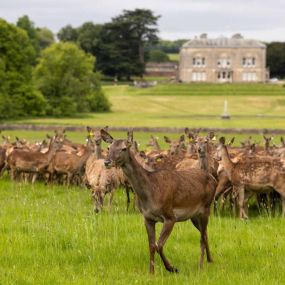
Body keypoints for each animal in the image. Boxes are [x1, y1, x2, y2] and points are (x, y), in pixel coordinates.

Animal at [101, 129, 215, 272]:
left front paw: (172, 268)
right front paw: (151, 272)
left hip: (206, 207)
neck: (150, 193)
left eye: (124, 148)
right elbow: (151, 245)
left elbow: (158, 245)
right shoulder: (148, 218)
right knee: (205, 234)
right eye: (108, 147)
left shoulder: (170, 216)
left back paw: (201, 265)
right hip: (193, 215)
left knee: (202, 237)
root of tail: (213, 178)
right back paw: (210, 260)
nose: (107, 162)